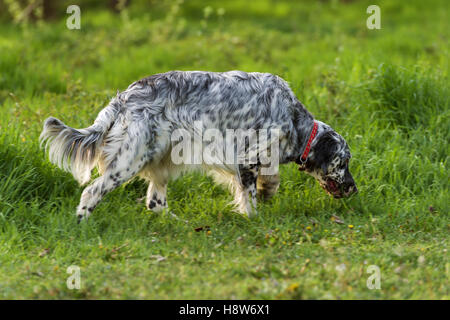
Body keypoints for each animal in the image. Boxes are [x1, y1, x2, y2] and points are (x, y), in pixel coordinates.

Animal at [41, 70, 358, 221]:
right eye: (343, 162)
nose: (354, 189)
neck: (292, 116)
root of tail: (123, 98)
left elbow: (271, 179)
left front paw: (268, 190)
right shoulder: (246, 157)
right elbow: (250, 199)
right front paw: (255, 219)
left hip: (162, 159)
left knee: (155, 203)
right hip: (130, 160)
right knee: (92, 191)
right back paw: (82, 223)